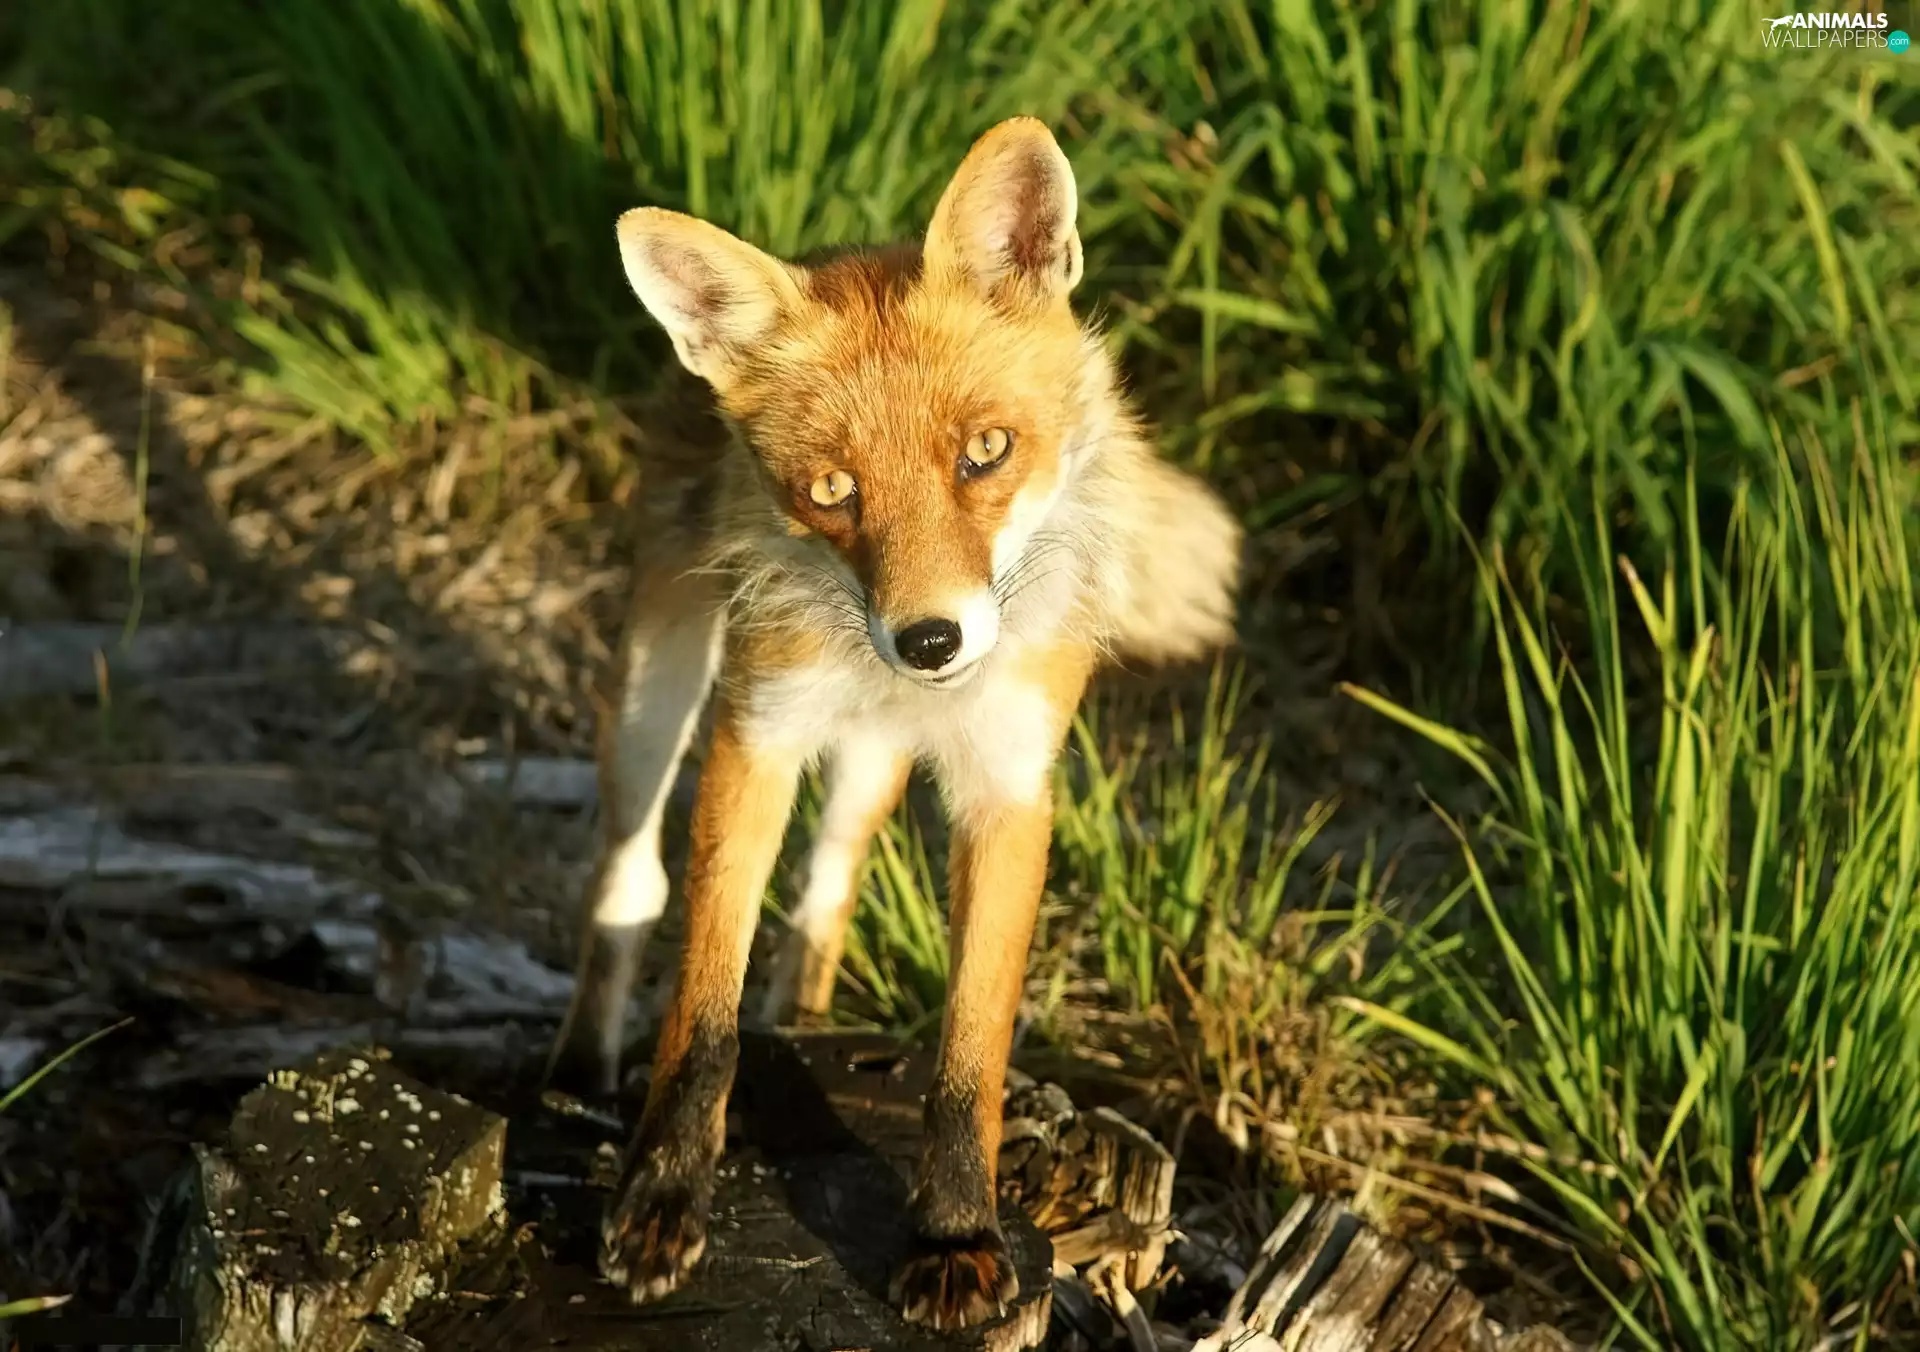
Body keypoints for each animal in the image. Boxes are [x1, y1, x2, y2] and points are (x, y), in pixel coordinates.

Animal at [545, 115, 1242, 1330]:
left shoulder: (1012, 788)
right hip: (654, 689)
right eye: (833, 490)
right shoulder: (756, 737)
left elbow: (971, 1050)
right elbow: (704, 1013)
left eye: (985, 453)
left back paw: (806, 1029)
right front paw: (662, 1195)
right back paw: (582, 1076)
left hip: (864, 771)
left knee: (824, 897)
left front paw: (956, 1235)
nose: (929, 641)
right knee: (628, 884)